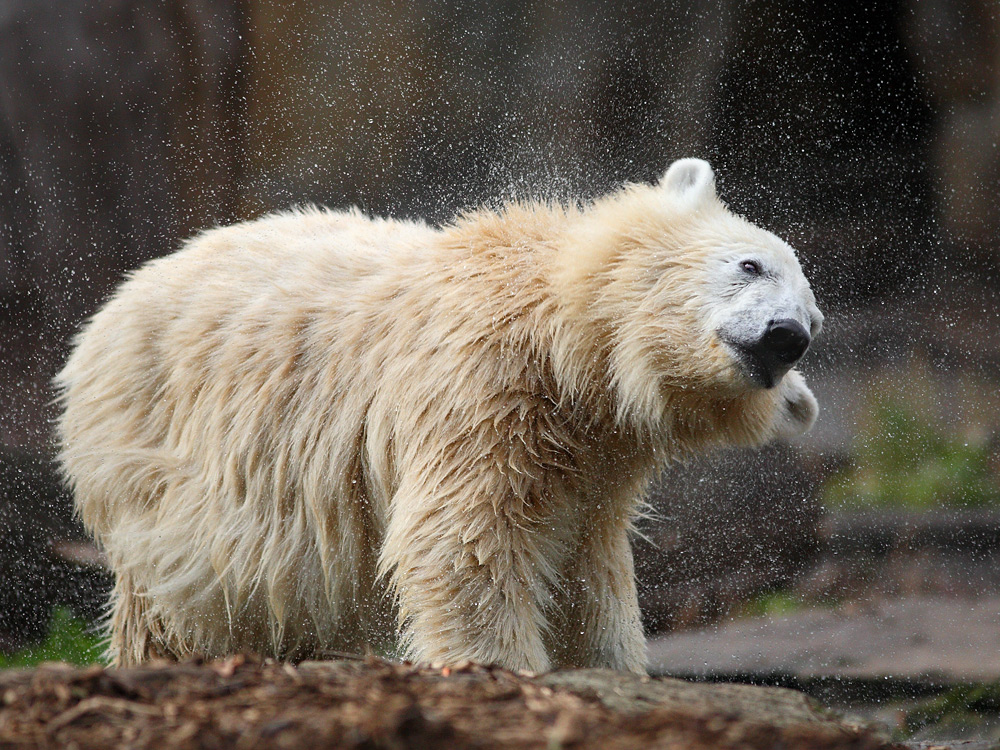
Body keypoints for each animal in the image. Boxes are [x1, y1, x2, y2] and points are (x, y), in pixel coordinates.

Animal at [52, 160, 820, 676]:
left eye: (814, 319)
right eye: (750, 265)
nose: (787, 337)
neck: (561, 330)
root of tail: (107, 315)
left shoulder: (597, 459)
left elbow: (585, 573)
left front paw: (609, 670)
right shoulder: (484, 385)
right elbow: (464, 542)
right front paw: (507, 672)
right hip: (165, 452)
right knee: (184, 598)